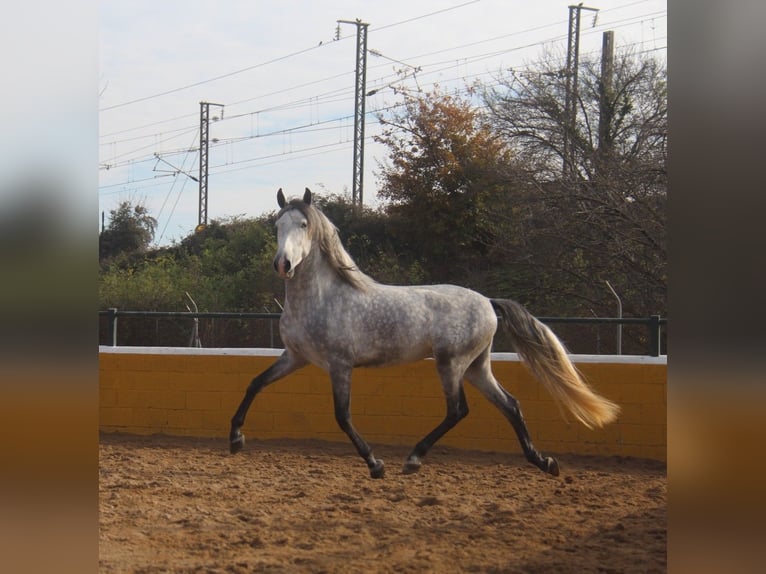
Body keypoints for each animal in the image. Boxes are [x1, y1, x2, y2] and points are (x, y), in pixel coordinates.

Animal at [230, 190, 624, 482]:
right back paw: (544, 462)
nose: (283, 264)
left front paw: (376, 465)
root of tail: (487, 302)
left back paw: (414, 458)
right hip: (476, 366)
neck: (322, 297)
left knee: (458, 410)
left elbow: (342, 416)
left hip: (451, 364)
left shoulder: (340, 365)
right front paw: (236, 439)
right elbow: (254, 384)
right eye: (276, 225)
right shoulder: (295, 357)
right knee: (510, 405)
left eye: (303, 224)